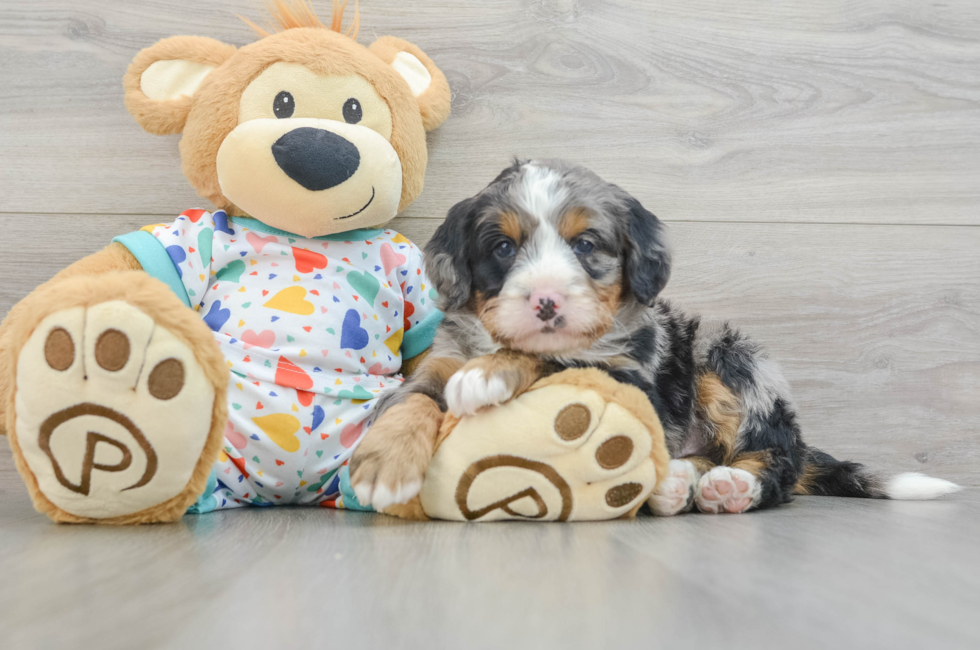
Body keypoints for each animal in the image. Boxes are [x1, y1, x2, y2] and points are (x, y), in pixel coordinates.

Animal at [348, 158, 960, 512]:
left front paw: (490, 374)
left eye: (586, 244)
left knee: (776, 460)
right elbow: (412, 397)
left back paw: (731, 487)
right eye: (502, 247)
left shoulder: (630, 376)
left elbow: (558, 359)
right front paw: (384, 465)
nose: (546, 301)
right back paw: (677, 482)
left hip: (727, 357)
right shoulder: (443, 357)